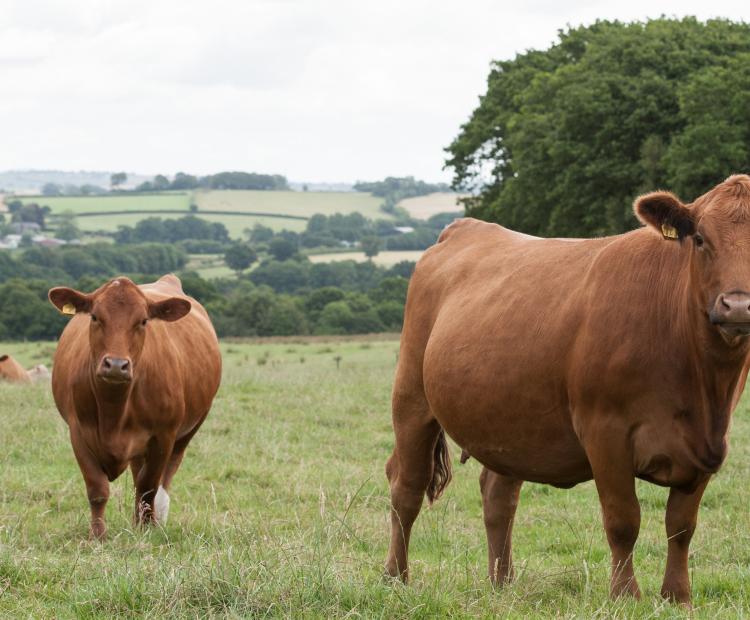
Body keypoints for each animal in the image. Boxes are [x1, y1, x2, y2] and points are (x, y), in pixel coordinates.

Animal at [48, 274, 220, 536]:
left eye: (143, 321)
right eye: (95, 317)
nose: (116, 365)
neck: (113, 409)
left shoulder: (163, 437)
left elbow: (148, 486)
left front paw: (147, 529)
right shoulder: (78, 433)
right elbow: (97, 489)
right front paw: (98, 535)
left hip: (188, 430)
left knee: (162, 479)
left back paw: (155, 519)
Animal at [388, 174, 750, 604]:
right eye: (699, 239)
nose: (737, 306)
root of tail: (465, 228)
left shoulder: (706, 444)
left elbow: (681, 526)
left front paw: (677, 596)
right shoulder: (605, 432)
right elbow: (623, 519)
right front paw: (625, 595)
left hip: (509, 422)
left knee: (498, 496)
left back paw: (501, 582)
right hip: (411, 397)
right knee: (406, 488)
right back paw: (395, 577)